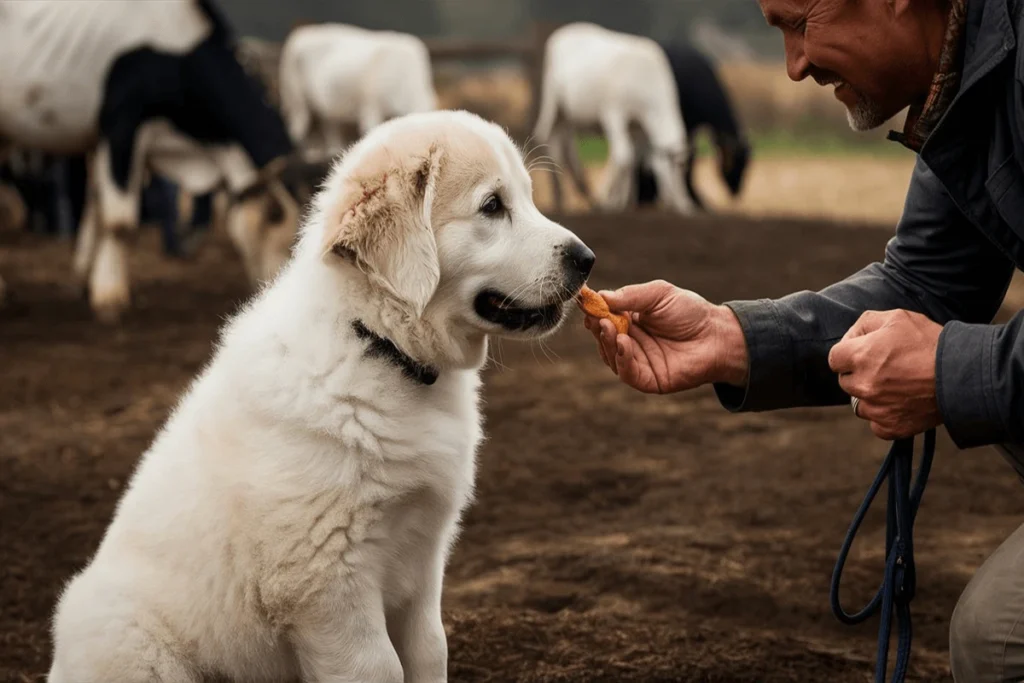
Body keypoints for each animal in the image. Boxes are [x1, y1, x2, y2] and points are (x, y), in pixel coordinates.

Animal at [0, 0, 303, 321]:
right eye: (274, 216)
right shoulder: (122, 126)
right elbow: (119, 220)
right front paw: (110, 295)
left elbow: (97, 206)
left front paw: (86, 277)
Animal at [48, 109, 598, 679]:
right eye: (492, 206)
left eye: (528, 197)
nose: (587, 259)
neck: (379, 346)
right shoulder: (328, 583)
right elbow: (380, 668)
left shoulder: (422, 563)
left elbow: (430, 650)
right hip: (138, 647)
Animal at [278, 23, 438, 160]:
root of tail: (303, 32)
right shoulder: (371, 107)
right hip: (295, 97)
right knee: (296, 130)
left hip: (327, 108)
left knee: (329, 127)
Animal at [532, 22, 692, 214]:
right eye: (671, 167)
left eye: (683, 170)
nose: (683, 206)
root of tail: (564, 31)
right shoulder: (613, 113)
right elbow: (623, 155)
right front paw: (607, 200)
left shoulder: (638, 127)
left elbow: (632, 160)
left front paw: (624, 202)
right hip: (553, 102)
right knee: (550, 140)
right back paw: (560, 198)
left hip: (570, 116)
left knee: (567, 146)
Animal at [630, 42, 753, 210]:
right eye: (737, 162)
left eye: (747, 165)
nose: (737, 190)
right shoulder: (685, 125)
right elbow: (687, 158)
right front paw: (694, 198)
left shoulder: (692, 127)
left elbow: (690, 157)